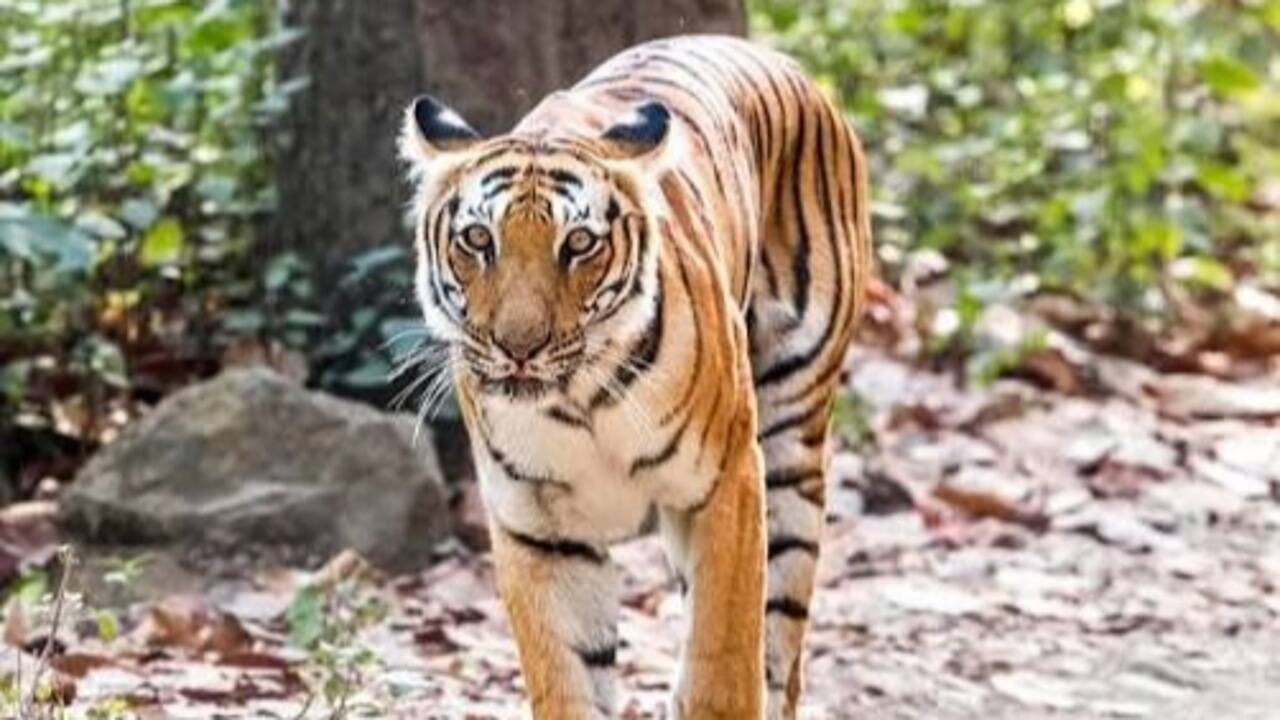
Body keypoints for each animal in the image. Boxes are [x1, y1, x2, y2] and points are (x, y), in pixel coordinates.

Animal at [400, 34, 872, 720]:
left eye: (579, 244)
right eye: (478, 240)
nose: (519, 347)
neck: (579, 400)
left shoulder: (725, 482)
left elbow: (723, 665)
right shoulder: (538, 526)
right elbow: (567, 679)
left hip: (792, 443)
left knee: (780, 638)